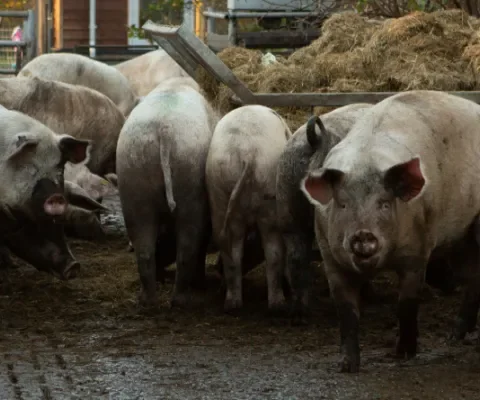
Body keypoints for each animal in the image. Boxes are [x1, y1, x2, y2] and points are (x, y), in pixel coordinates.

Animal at [118, 76, 219, 308]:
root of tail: (164, 128)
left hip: (134, 181)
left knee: (144, 250)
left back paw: (148, 300)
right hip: (190, 187)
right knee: (188, 248)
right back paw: (182, 299)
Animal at [204, 104, 290, 310]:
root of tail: (246, 153)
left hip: (219, 194)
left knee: (232, 252)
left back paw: (232, 304)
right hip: (270, 197)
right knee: (273, 252)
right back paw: (278, 305)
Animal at [302, 90, 480, 372]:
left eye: (384, 203)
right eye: (342, 204)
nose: (363, 234)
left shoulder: (418, 252)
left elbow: (406, 303)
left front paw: (404, 354)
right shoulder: (329, 256)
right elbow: (346, 312)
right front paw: (347, 366)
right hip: (462, 234)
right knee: (473, 277)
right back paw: (455, 336)